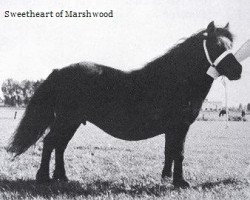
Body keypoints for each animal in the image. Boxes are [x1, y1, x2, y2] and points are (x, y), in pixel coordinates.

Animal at [7, 21, 242, 188]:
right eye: (217, 45)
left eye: (231, 45)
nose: (238, 70)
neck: (175, 80)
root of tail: (59, 71)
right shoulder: (180, 127)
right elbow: (179, 153)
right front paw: (180, 182)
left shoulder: (172, 129)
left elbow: (169, 152)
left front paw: (166, 178)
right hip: (66, 120)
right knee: (50, 143)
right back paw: (43, 178)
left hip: (71, 122)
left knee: (60, 146)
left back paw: (62, 177)